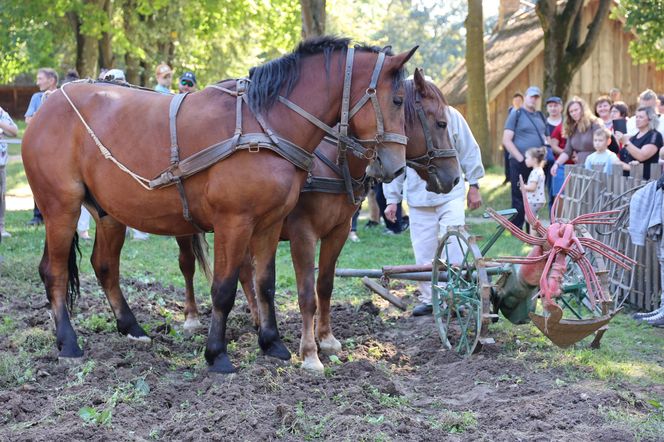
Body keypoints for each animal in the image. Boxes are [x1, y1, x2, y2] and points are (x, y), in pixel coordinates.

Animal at [24, 36, 416, 372]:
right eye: (398, 100)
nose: (396, 167)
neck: (265, 124)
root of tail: (51, 101)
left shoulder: (270, 222)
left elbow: (265, 282)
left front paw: (272, 343)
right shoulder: (234, 222)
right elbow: (224, 289)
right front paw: (217, 354)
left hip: (107, 214)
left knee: (103, 267)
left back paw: (131, 327)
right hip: (61, 208)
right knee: (55, 272)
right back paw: (69, 343)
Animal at [176, 70, 460, 372]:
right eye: (441, 123)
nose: (455, 177)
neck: (332, 161)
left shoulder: (338, 231)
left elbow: (324, 285)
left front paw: (326, 339)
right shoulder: (303, 233)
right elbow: (306, 294)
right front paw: (309, 353)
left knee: (244, 272)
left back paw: (257, 319)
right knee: (188, 266)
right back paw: (192, 318)